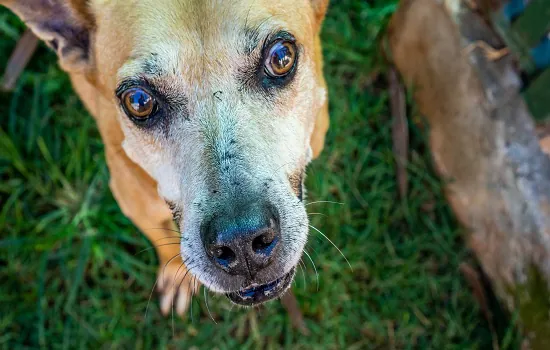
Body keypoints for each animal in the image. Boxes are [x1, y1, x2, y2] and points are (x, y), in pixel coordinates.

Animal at [2, 0, 330, 316]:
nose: (241, 242)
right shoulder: (134, 204)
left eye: (281, 57)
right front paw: (175, 274)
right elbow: (163, 240)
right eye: (138, 101)